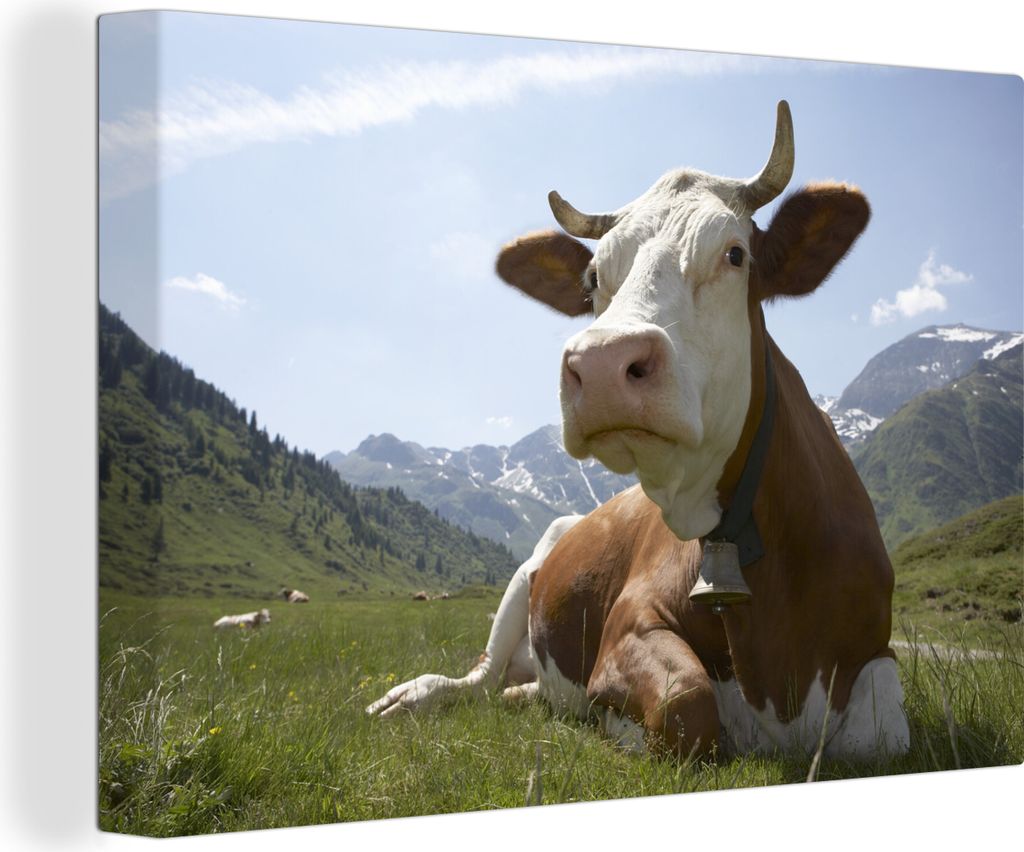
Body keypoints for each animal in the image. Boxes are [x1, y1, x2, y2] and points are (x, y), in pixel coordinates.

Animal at [367, 101, 909, 761]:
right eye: (593, 277)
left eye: (735, 254)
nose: (601, 364)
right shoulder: (629, 623)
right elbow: (688, 705)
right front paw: (614, 724)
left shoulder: (874, 654)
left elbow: (883, 736)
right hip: (524, 578)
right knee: (476, 678)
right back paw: (416, 695)